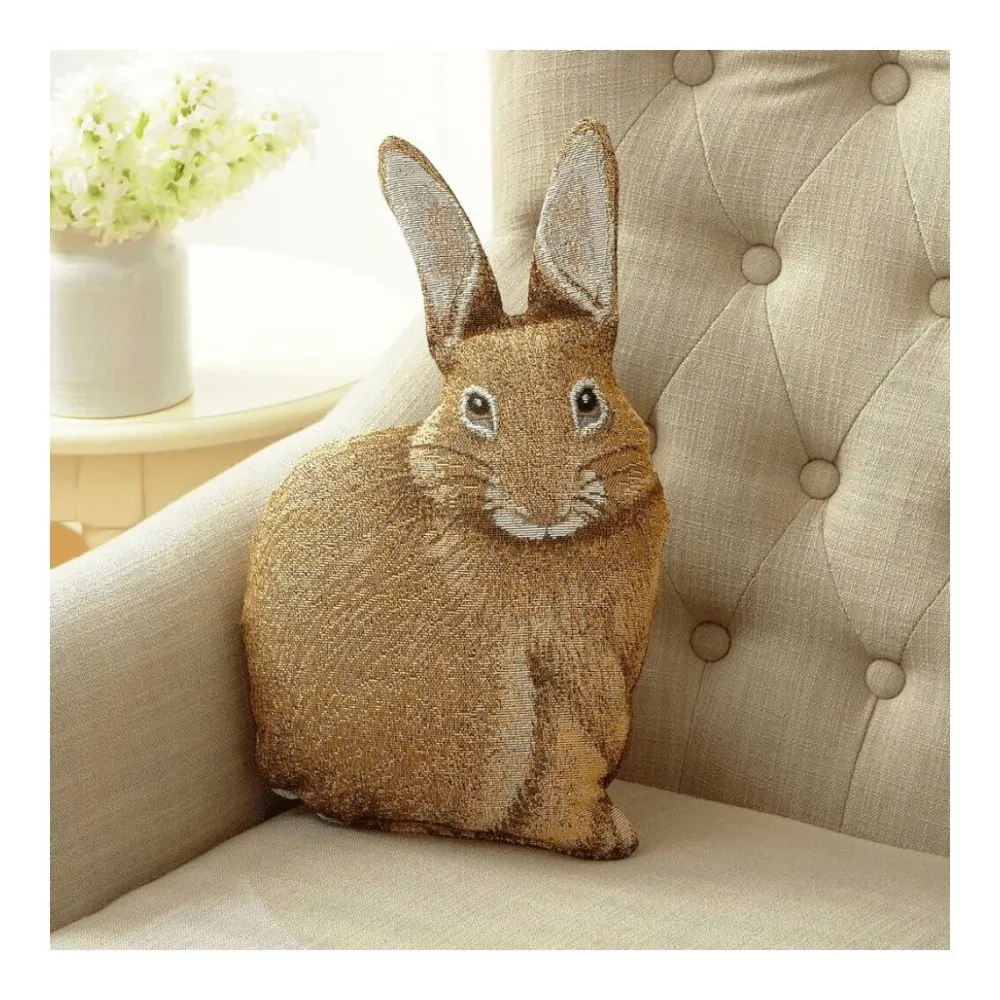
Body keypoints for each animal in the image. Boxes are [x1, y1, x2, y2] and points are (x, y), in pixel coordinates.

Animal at [242, 119, 670, 859]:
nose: (542, 506)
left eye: (588, 401)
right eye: (476, 405)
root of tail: (299, 781)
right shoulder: (570, 667)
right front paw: (604, 835)